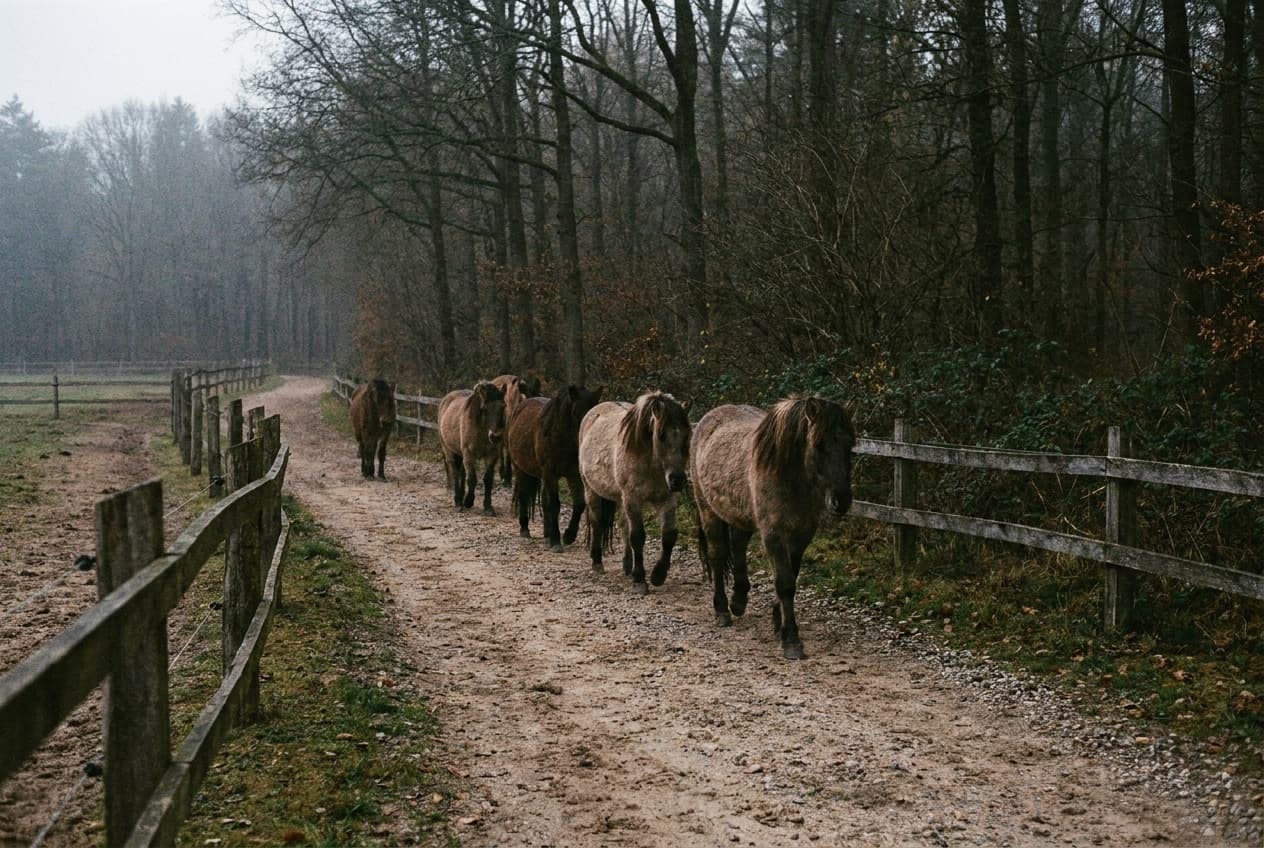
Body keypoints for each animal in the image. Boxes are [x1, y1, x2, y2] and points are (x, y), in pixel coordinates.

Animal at [437, 381, 508, 514]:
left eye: (503, 407)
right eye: (484, 408)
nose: (495, 436)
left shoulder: (492, 454)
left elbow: (488, 479)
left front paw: (488, 507)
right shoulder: (469, 453)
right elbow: (472, 479)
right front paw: (468, 501)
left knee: (461, 472)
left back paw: (461, 497)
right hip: (449, 451)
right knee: (455, 473)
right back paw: (458, 502)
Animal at [507, 384, 603, 552]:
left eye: (594, 413)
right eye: (575, 412)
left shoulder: (574, 475)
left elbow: (579, 504)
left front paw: (569, 536)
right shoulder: (550, 473)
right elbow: (554, 504)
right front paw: (556, 540)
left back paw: (547, 533)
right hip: (521, 469)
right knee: (523, 495)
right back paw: (525, 529)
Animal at [578, 392, 691, 594]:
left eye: (687, 435)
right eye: (661, 436)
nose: (678, 480)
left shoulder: (667, 499)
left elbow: (669, 535)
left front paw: (658, 575)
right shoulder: (634, 498)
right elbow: (638, 536)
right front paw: (640, 580)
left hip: (621, 497)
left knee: (623, 525)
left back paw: (627, 565)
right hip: (591, 489)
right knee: (597, 522)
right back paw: (597, 562)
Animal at [689, 397, 854, 660]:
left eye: (850, 444)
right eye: (819, 444)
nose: (841, 500)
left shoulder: (801, 536)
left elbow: (791, 578)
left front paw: (778, 622)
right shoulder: (774, 534)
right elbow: (784, 583)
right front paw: (791, 640)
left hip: (740, 514)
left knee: (738, 547)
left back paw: (738, 600)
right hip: (708, 510)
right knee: (718, 555)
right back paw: (722, 610)